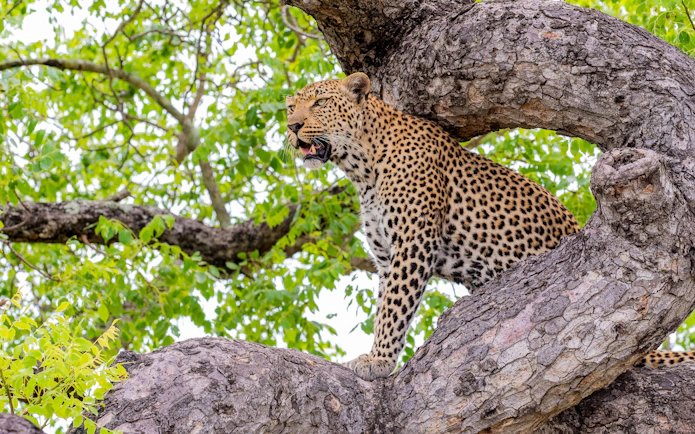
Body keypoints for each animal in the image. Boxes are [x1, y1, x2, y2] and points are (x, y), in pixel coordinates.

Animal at [285, 72, 695, 381]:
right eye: (291, 106)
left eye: (319, 103)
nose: (292, 126)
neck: (361, 167)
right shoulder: (387, 256)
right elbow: (387, 306)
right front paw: (379, 357)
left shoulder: (412, 244)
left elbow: (394, 309)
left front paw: (377, 362)